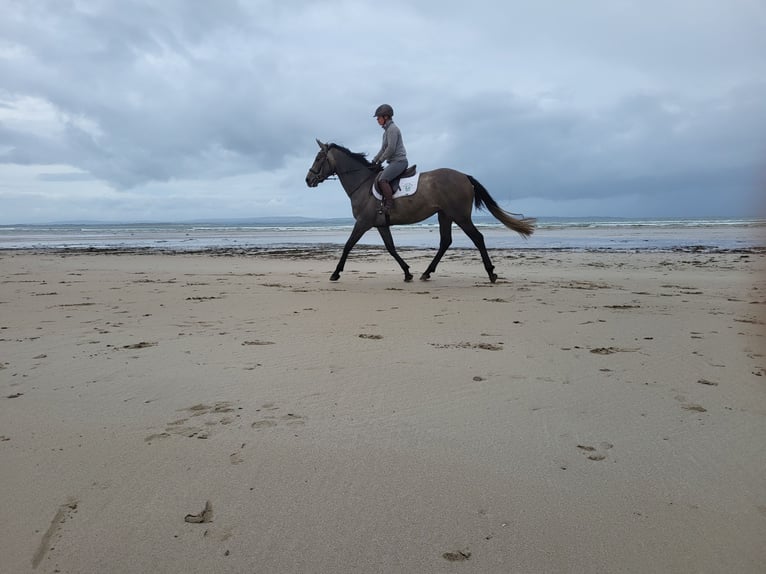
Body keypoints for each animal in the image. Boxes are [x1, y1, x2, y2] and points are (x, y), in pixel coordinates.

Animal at [304, 140, 536, 284]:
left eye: (318, 158)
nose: (308, 179)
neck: (363, 183)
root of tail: (464, 176)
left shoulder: (363, 223)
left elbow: (347, 246)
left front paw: (335, 273)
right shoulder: (380, 224)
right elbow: (391, 248)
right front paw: (407, 273)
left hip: (460, 216)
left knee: (477, 238)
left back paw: (491, 273)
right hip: (445, 215)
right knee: (445, 241)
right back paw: (426, 273)